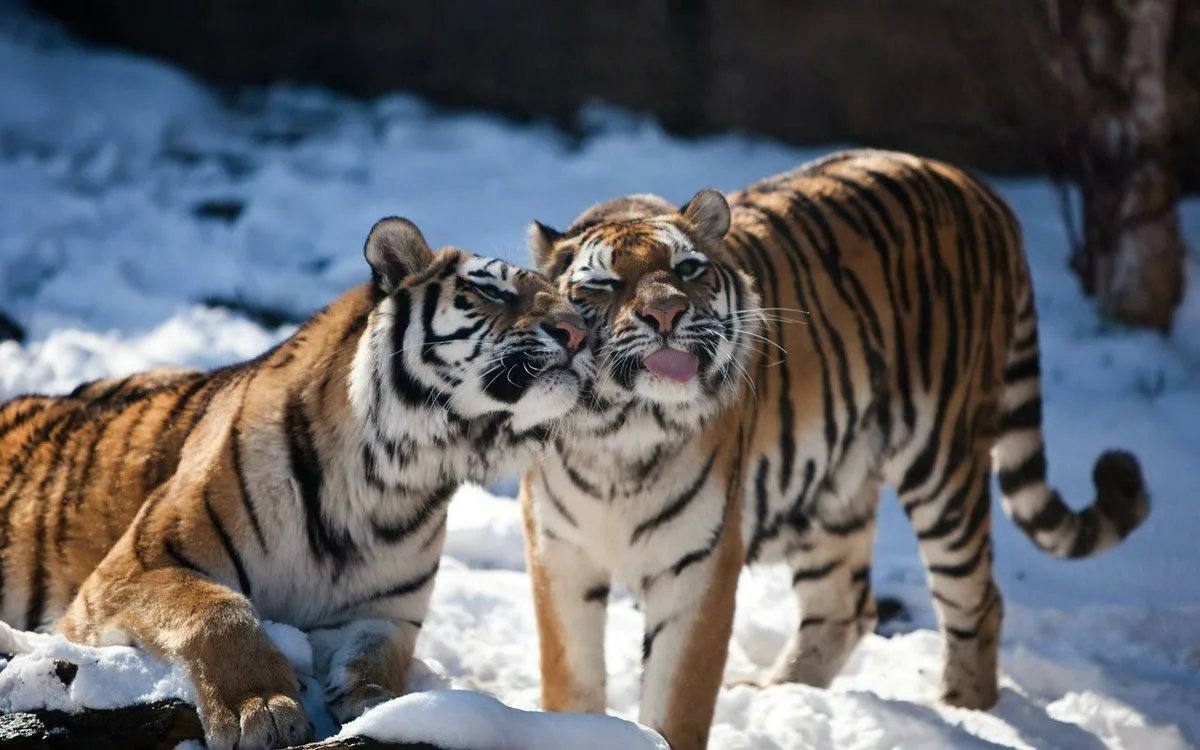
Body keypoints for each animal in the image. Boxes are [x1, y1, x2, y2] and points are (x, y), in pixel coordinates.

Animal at [0, 216, 595, 748]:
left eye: (569, 298)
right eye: (490, 290)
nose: (580, 331)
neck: (397, 478)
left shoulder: (383, 611)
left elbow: (377, 657)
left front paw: (381, 708)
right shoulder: (137, 568)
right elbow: (219, 611)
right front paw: (261, 710)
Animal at [518, 149, 1152, 744]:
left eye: (688, 268)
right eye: (603, 284)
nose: (666, 313)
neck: (618, 432)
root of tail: (977, 186)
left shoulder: (699, 562)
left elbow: (677, 702)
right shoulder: (560, 552)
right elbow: (571, 682)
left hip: (943, 463)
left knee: (977, 600)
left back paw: (965, 711)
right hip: (833, 485)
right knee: (845, 607)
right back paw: (781, 693)